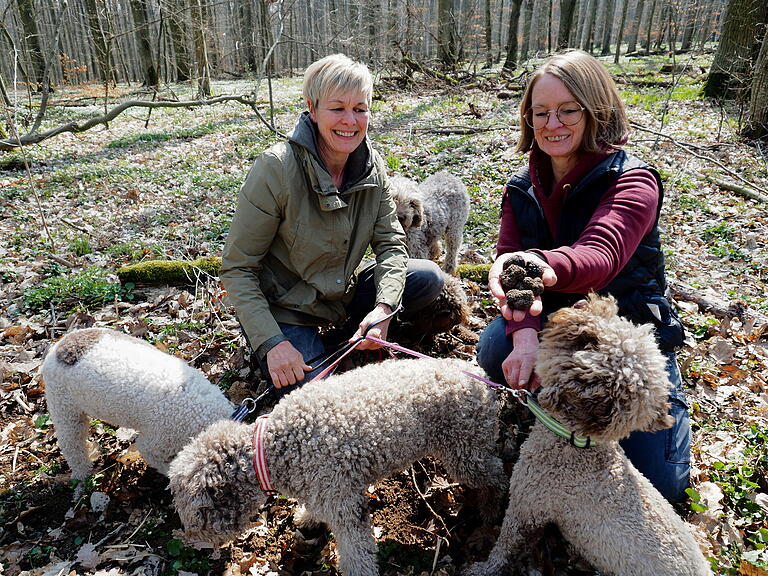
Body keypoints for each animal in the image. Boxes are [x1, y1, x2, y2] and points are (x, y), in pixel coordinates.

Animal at [41, 328, 232, 482]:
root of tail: (60, 344)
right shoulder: (156, 444)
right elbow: (163, 464)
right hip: (62, 403)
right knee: (71, 443)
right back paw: (81, 479)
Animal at [168, 358, 508, 572]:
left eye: (196, 516)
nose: (193, 543)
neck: (272, 448)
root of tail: (479, 375)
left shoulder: (343, 500)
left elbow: (356, 552)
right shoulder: (325, 487)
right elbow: (317, 509)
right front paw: (308, 518)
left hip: (465, 451)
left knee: (498, 476)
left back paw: (492, 509)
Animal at [460, 294, 712, 576]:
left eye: (587, 341)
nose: (584, 304)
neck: (577, 444)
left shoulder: (527, 506)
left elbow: (506, 547)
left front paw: (482, 569)